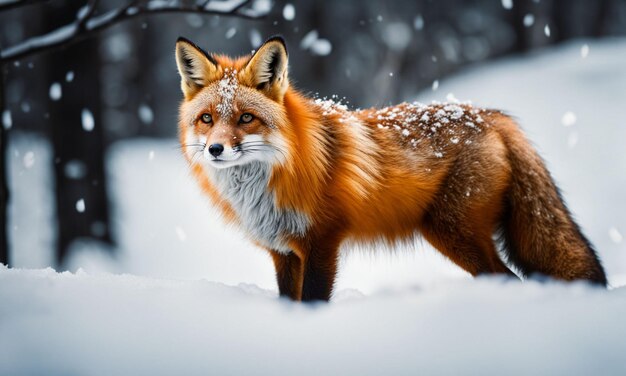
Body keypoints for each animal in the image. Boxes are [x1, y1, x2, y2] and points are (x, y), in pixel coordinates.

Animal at [174, 36, 604, 302]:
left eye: (246, 118)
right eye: (207, 119)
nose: (215, 149)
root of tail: (490, 113)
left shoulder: (323, 241)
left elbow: (312, 301)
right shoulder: (283, 252)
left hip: (453, 233)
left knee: (508, 278)